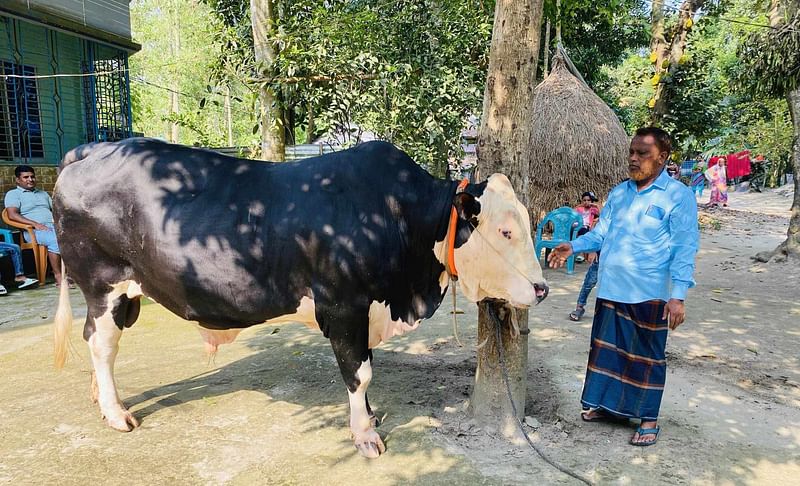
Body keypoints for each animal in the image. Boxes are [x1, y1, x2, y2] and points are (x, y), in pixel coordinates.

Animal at [51, 139, 552, 458]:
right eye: (505, 231)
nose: (542, 288)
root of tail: (93, 150)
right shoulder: (344, 305)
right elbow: (360, 373)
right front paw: (364, 435)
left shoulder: (364, 312)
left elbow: (364, 369)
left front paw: (371, 418)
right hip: (103, 282)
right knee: (102, 343)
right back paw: (116, 413)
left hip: (121, 294)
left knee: (97, 340)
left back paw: (102, 398)